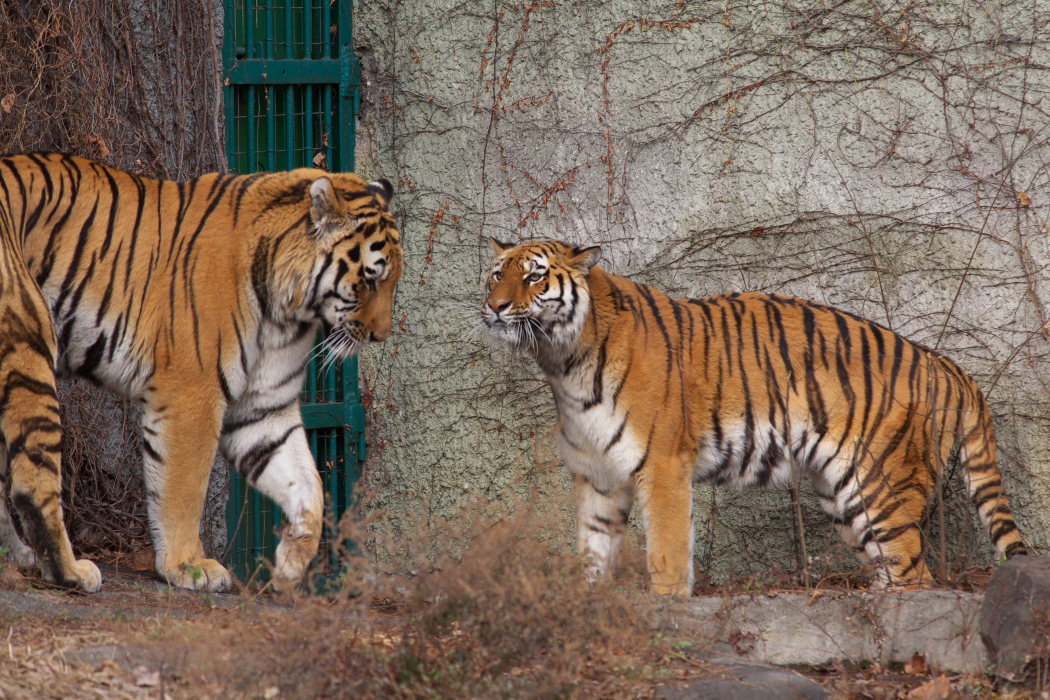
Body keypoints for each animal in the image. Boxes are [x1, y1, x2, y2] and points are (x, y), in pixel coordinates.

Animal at [0, 152, 401, 591]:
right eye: (370, 279)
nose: (381, 335)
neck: (287, 312)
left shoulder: (264, 409)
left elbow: (308, 486)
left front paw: (291, 565)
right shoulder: (192, 395)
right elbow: (184, 489)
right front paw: (188, 565)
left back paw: (20, 558)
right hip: (28, 346)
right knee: (31, 479)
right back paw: (70, 572)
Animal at [482, 238, 1024, 596]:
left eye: (534, 275)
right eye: (496, 274)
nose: (495, 307)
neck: (563, 363)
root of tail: (945, 364)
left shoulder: (663, 468)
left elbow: (667, 556)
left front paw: (666, 613)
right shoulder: (597, 475)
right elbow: (592, 554)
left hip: (884, 489)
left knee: (917, 578)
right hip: (847, 500)